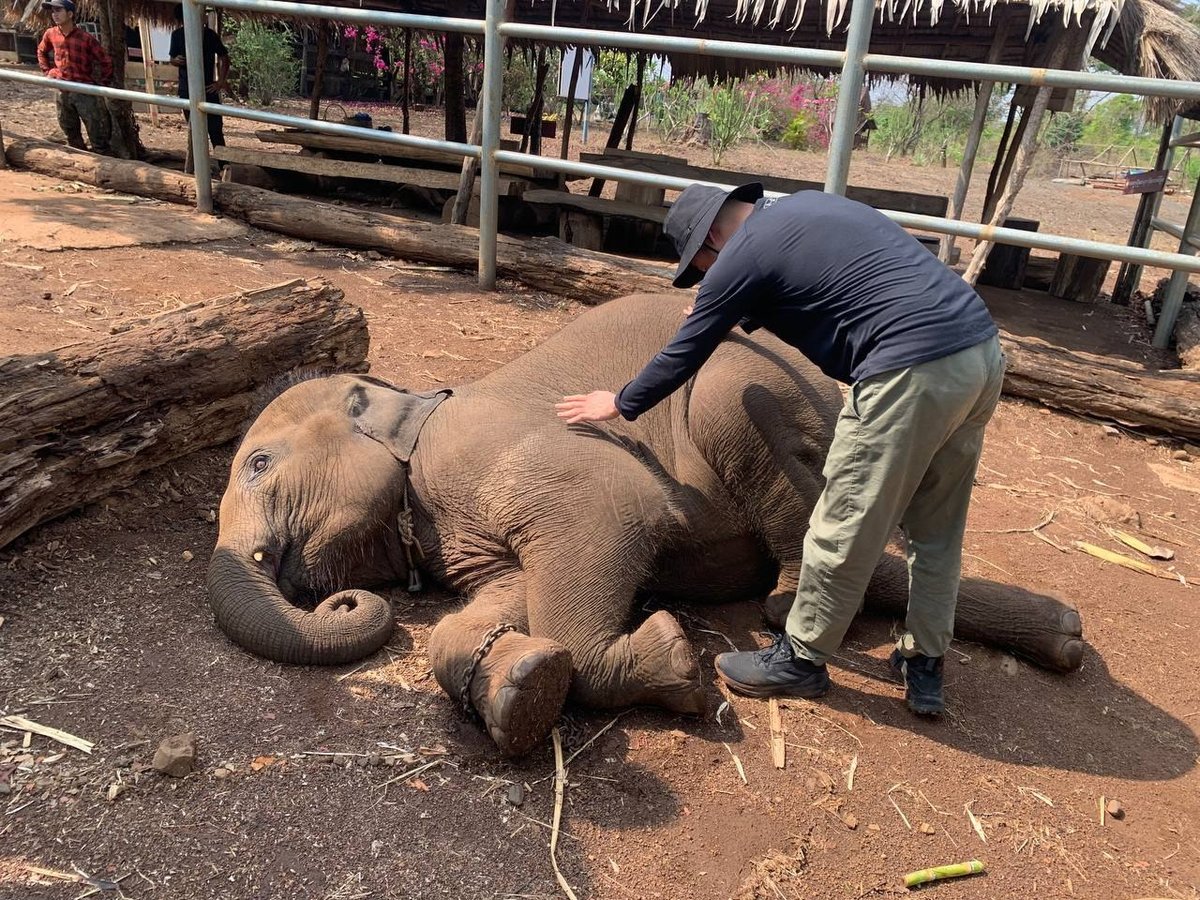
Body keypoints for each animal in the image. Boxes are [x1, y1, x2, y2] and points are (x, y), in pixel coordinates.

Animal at [208, 293, 1084, 756]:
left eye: (257, 465)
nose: (341, 600)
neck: (415, 405)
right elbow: (505, 600)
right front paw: (521, 686)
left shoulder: (514, 455)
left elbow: (607, 517)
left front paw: (670, 660)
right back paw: (1066, 638)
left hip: (768, 397)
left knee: (755, 430)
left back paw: (781, 607)